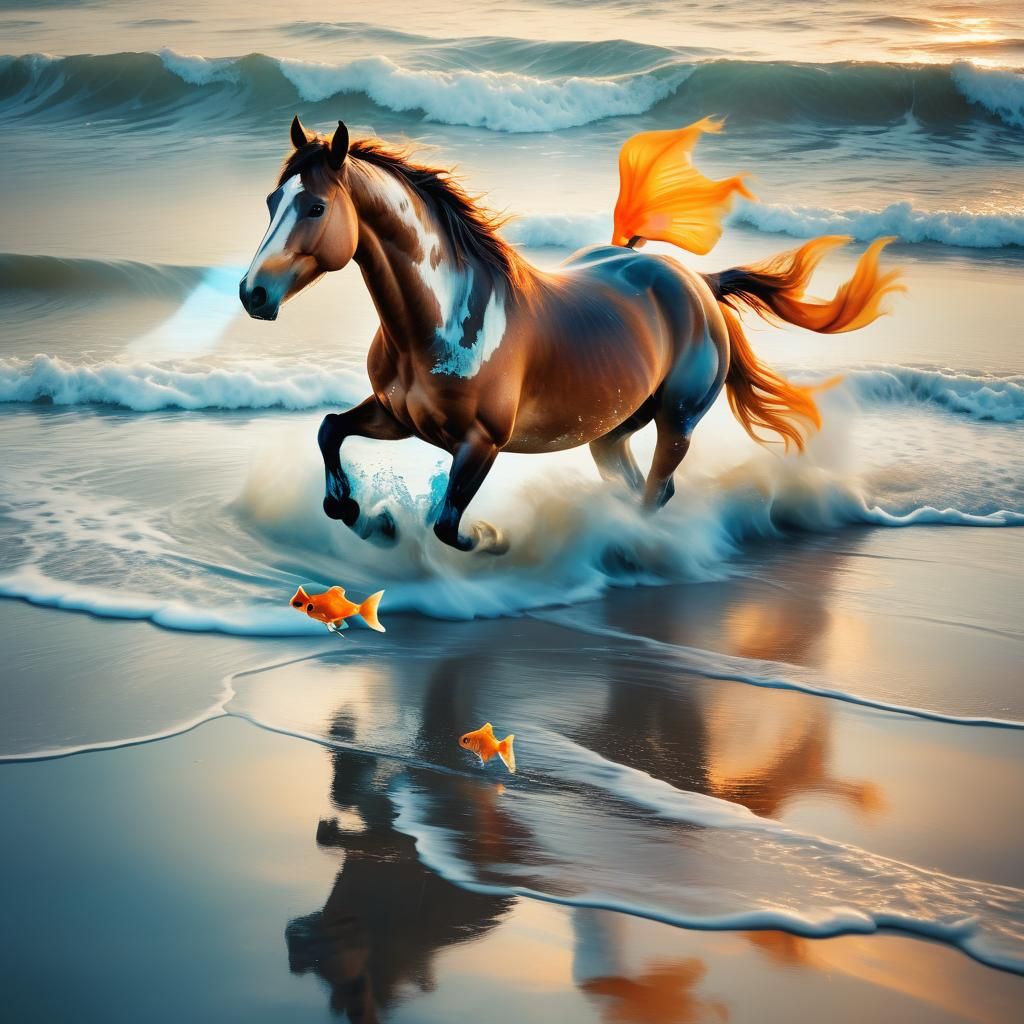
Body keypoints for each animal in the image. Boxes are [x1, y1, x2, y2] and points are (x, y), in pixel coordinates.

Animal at [240, 116, 901, 553]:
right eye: (272, 199)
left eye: (316, 208)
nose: (252, 293)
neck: (439, 323)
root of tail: (696, 282)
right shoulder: (397, 416)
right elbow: (331, 431)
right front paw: (366, 516)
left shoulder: (481, 443)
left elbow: (450, 525)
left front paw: (491, 537)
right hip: (610, 431)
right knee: (637, 485)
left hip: (677, 421)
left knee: (653, 492)